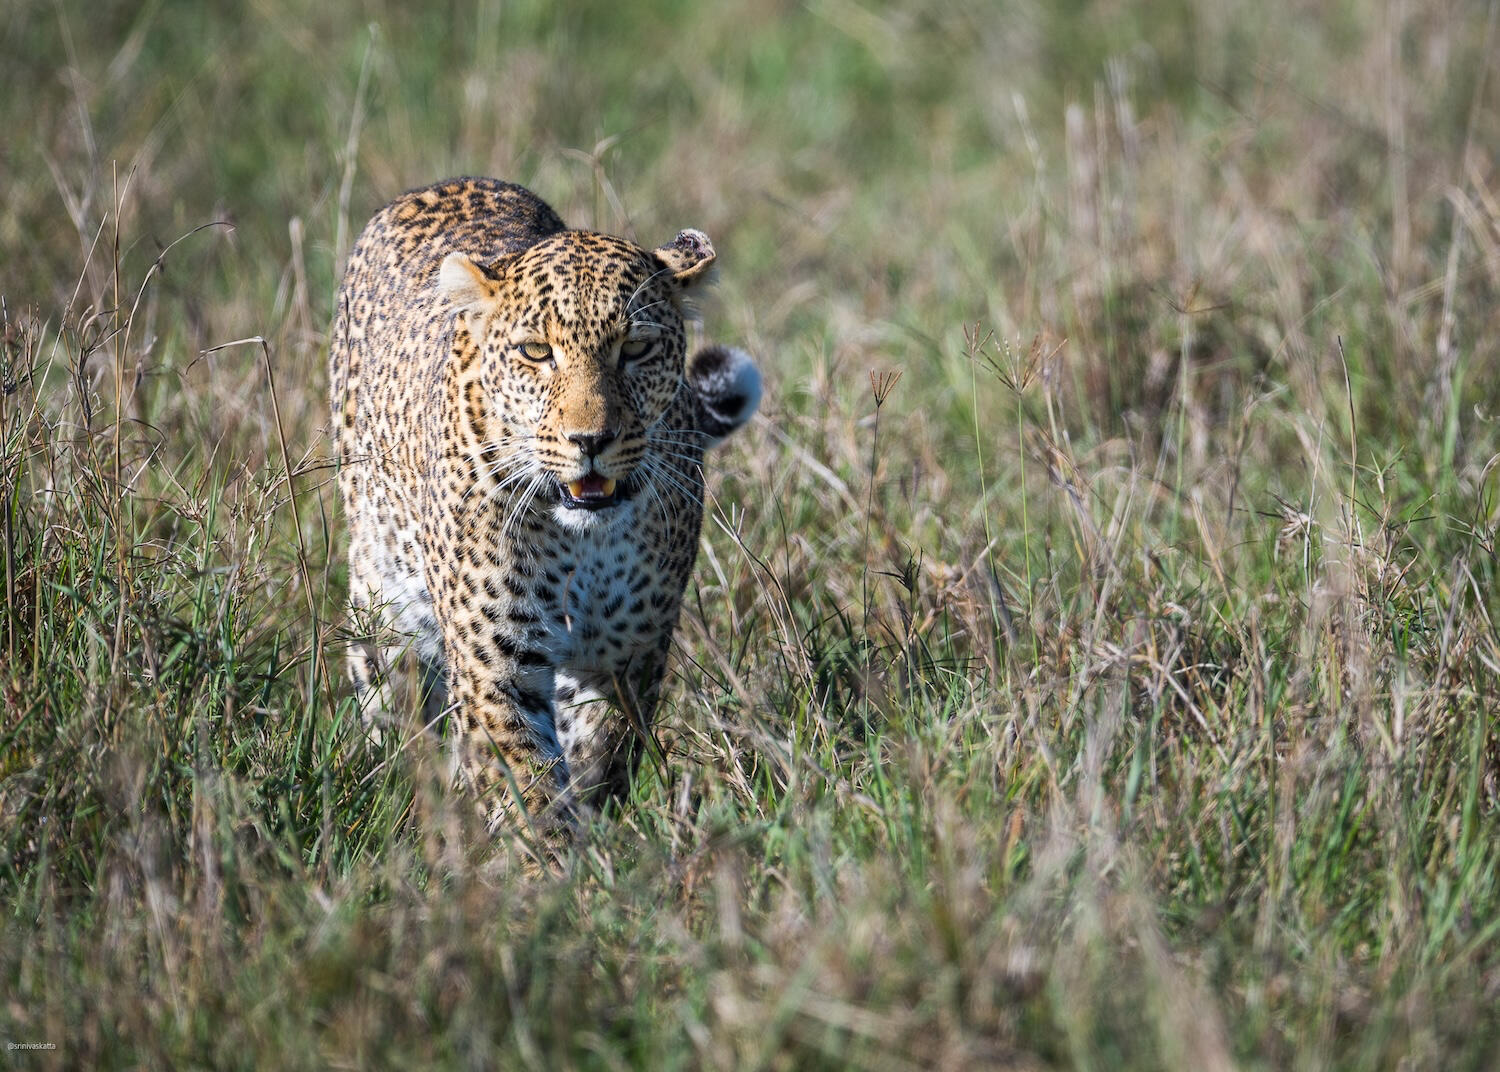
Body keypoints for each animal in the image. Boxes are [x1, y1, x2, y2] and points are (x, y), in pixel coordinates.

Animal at [329, 177, 760, 857]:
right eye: (536, 352)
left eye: (636, 348)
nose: (591, 439)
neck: (585, 541)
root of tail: (444, 183)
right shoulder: (494, 664)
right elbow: (525, 785)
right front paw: (552, 871)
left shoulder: (628, 655)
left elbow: (599, 755)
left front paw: (591, 844)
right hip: (382, 601)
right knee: (393, 700)